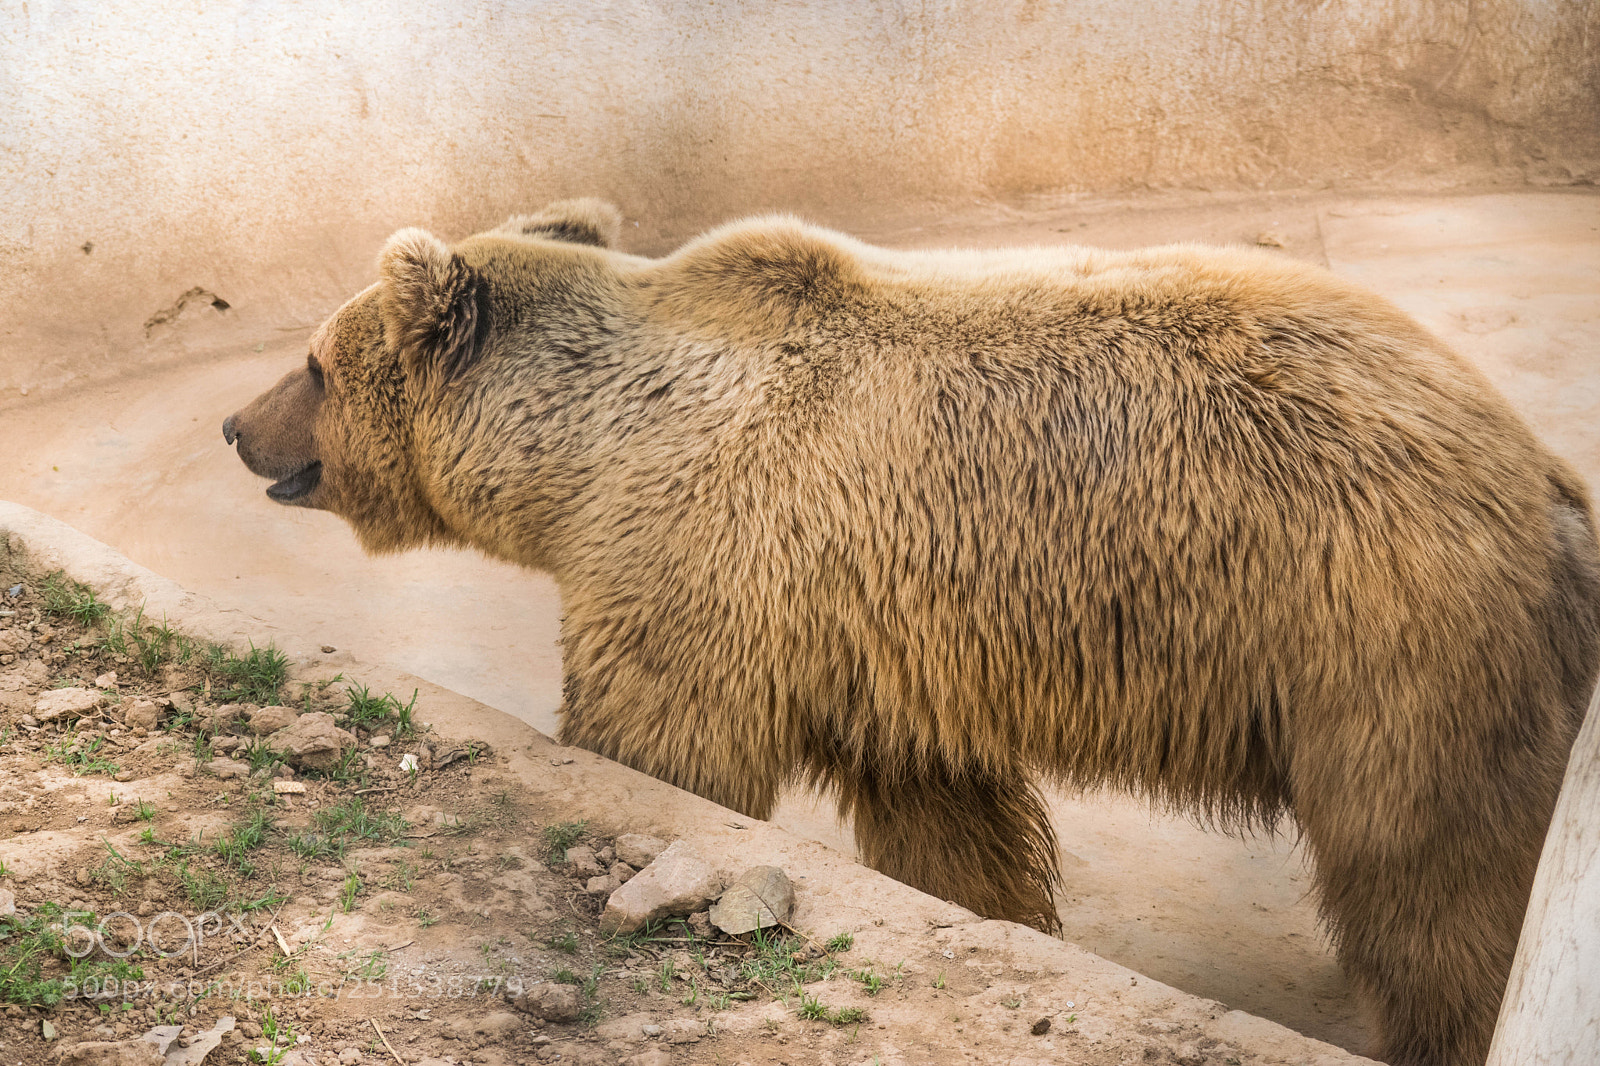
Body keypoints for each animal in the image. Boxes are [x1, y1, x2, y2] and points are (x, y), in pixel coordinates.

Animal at [225, 198, 1600, 1066]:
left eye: (317, 359)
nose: (237, 426)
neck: (588, 454)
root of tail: (1541, 476)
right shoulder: (878, 637)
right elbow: (941, 815)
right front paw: (1002, 913)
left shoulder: (705, 556)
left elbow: (662, 743)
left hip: (1380, 633)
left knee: (1432, 871)